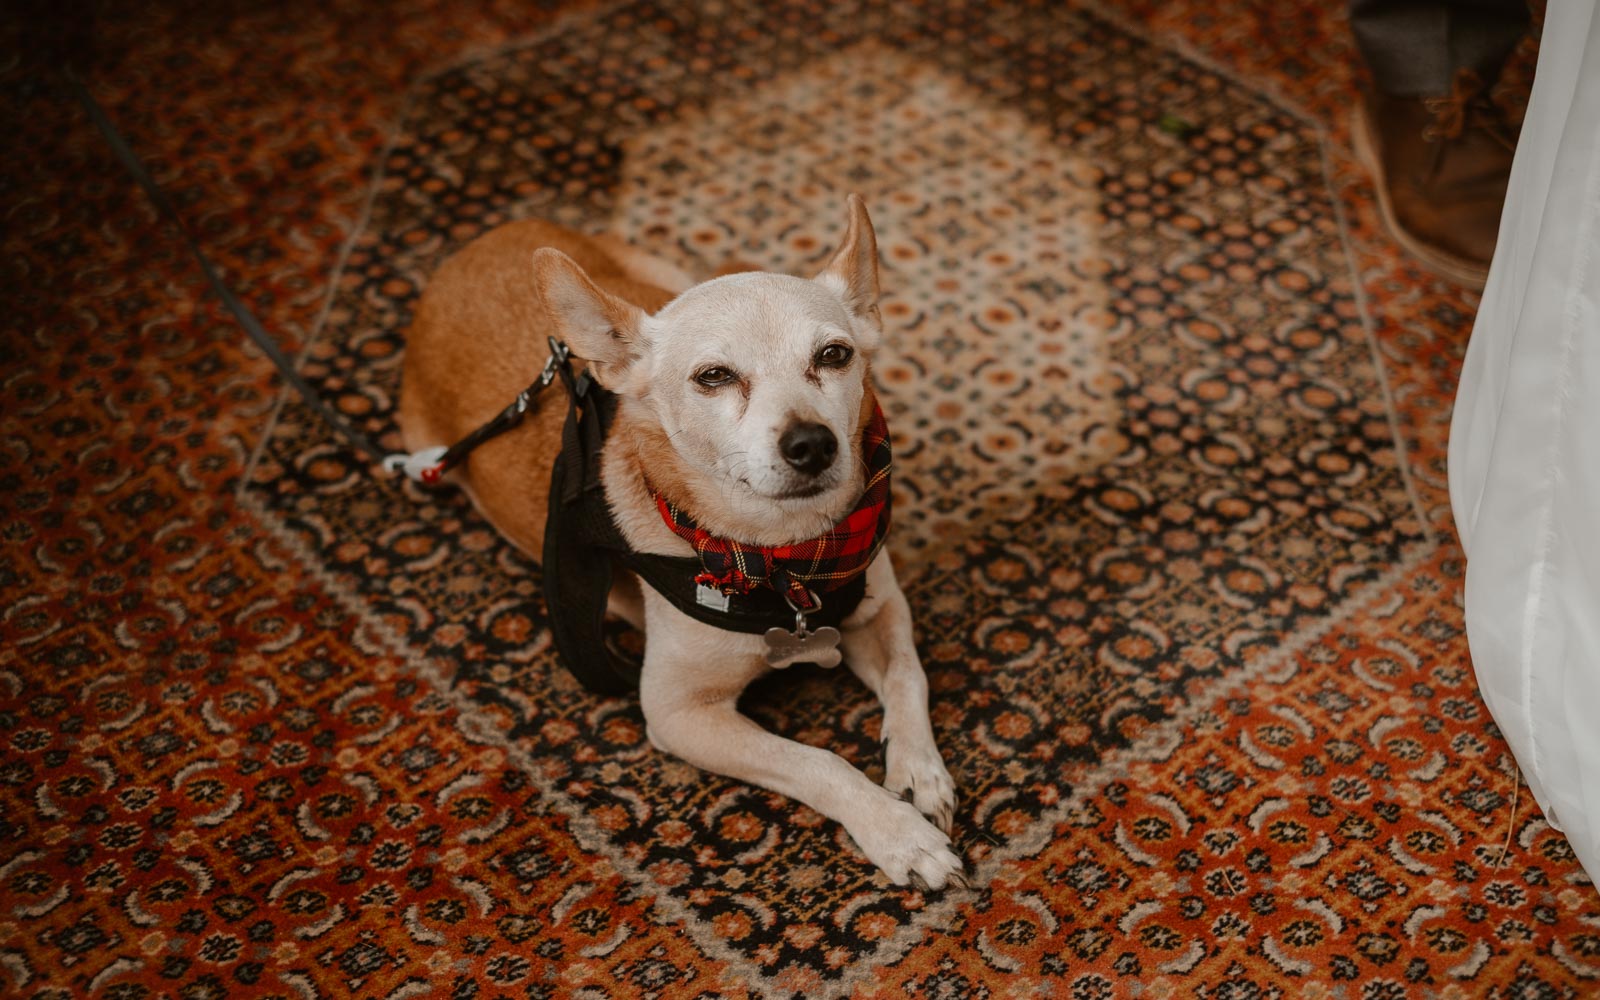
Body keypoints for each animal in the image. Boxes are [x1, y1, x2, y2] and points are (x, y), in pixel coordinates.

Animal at [398, 196, 960, 889]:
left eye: (834, 355)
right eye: (713, 376)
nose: (811, 443)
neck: (787, 564)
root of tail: (467, 251)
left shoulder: (882, 609)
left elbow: (910, 678)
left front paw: (918, 774)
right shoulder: (679, 714)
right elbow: (817, 761)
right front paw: (898, 833)